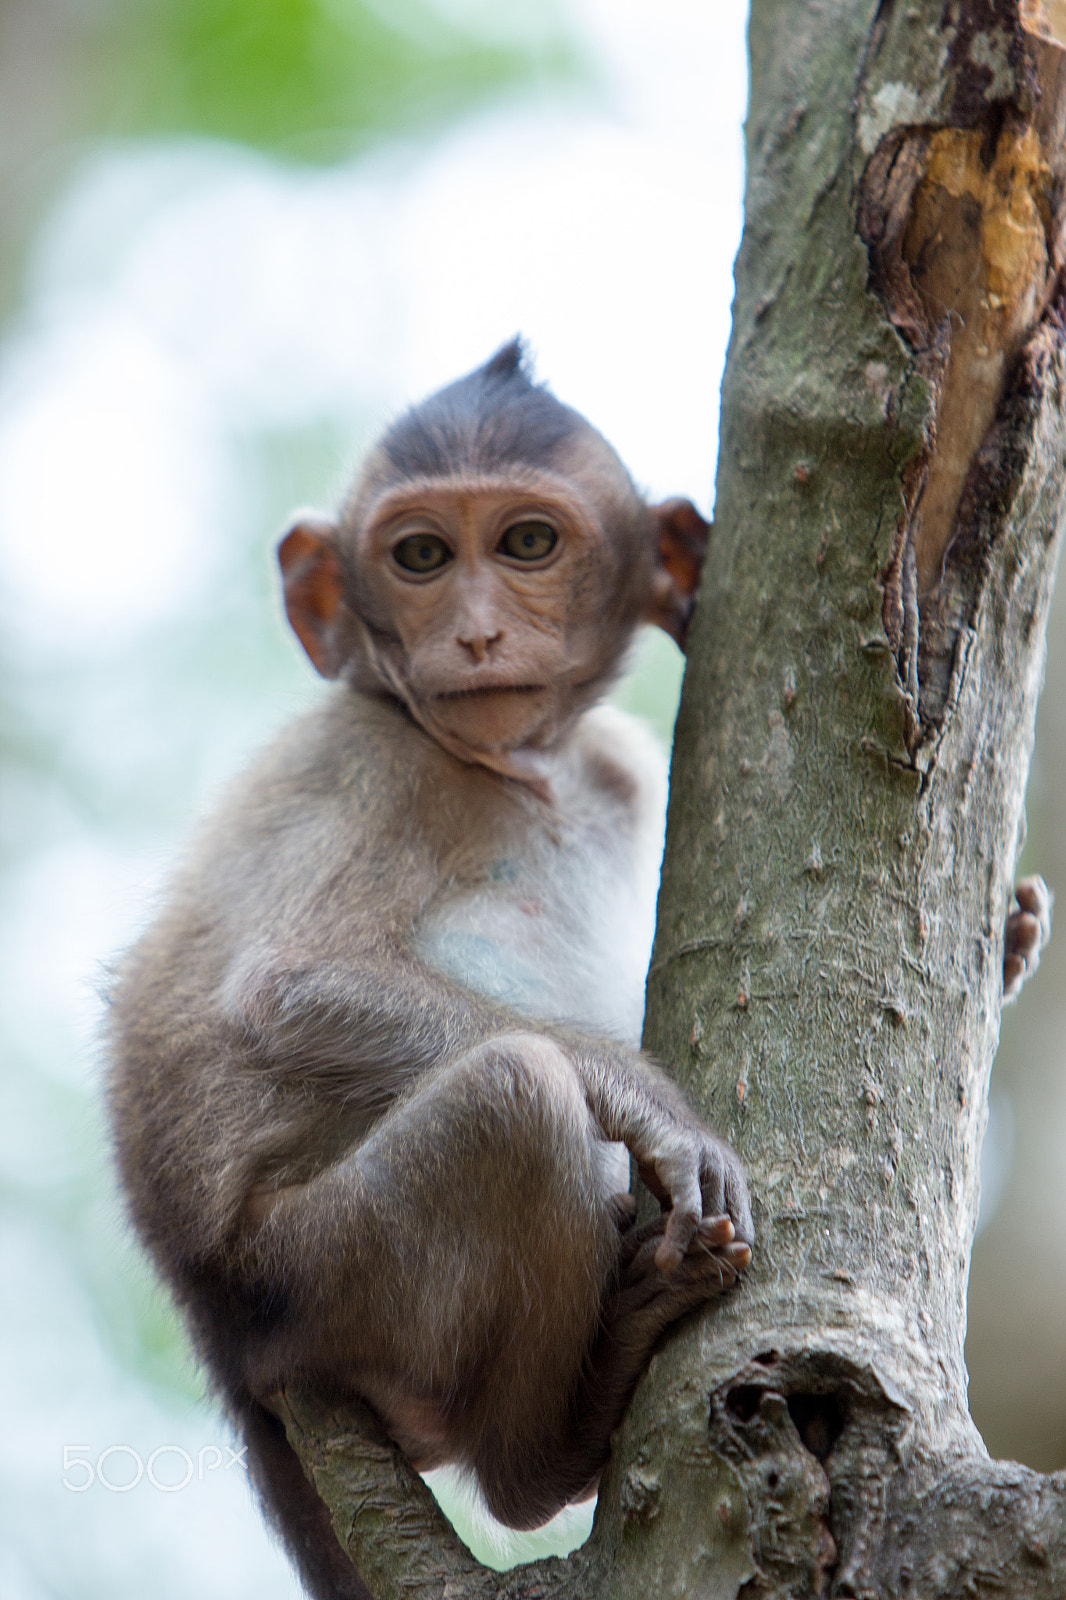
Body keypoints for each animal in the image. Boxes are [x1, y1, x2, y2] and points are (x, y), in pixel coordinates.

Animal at [107, 340, 755, 1600]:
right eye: (419, 558)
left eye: (526, 543)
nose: (478, 634)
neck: (520, 771)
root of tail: (214, 1320)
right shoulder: (376, 764)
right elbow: (287, 980)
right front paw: (645, 1098)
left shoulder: (615, 766)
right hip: (315, 1280)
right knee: (513, 1093)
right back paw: (543, 1452)